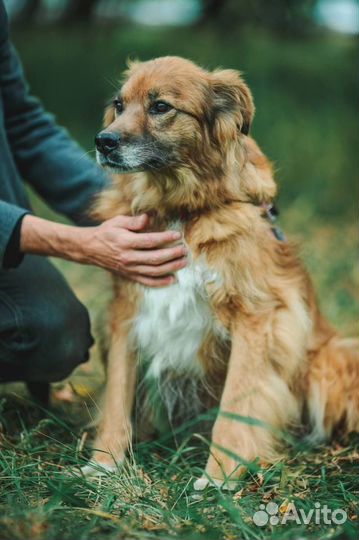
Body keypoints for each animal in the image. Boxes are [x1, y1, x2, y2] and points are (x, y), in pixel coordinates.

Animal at [87, 57, 359, 488]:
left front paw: (219, 478)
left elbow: (235, 405)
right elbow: (117, 396)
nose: (103, 141)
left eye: (161, 107)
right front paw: (104, 464)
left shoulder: (256, 318)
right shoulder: (127, 310)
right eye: (119, 104)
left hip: (334, 359)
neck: (180, 209)